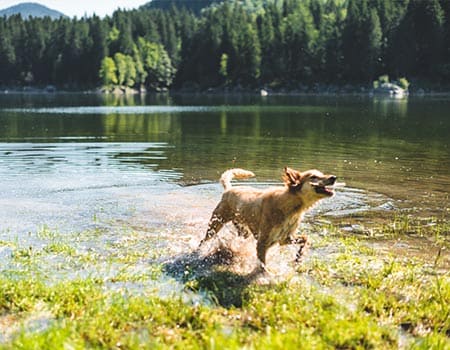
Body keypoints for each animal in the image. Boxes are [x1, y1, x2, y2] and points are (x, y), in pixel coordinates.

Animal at [199, 166, 336, 268]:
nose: (334, 177)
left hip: (243, 230)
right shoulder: (262, 242)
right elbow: (263, 266)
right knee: (203, 240)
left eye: (321, 174)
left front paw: (299, 257)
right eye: (313, 176)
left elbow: (306, 239)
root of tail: (229, 190)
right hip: (215, 224)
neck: (289, 206)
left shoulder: (285, 238)